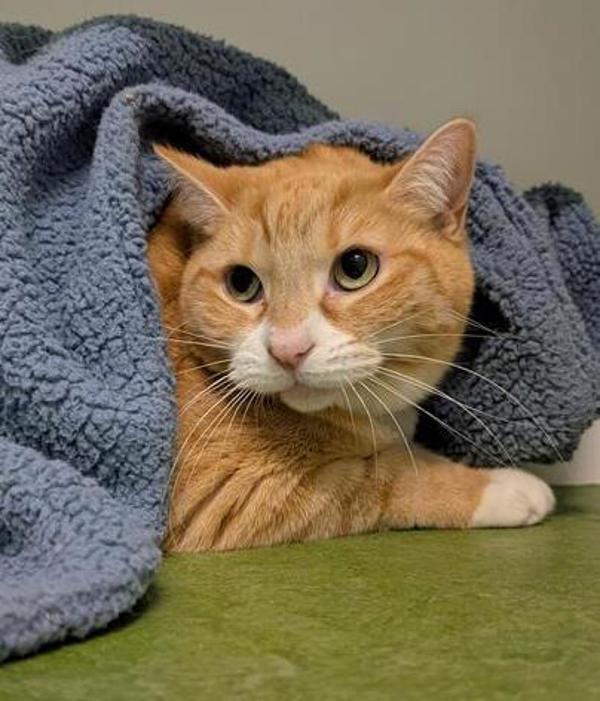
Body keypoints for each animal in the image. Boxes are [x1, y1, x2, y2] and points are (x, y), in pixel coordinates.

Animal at [148, 117, 555, 552]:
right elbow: (387, 476)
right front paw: (498, 486)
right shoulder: (227, 495)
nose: (288, 349)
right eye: (242, 283)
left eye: (355, 268)